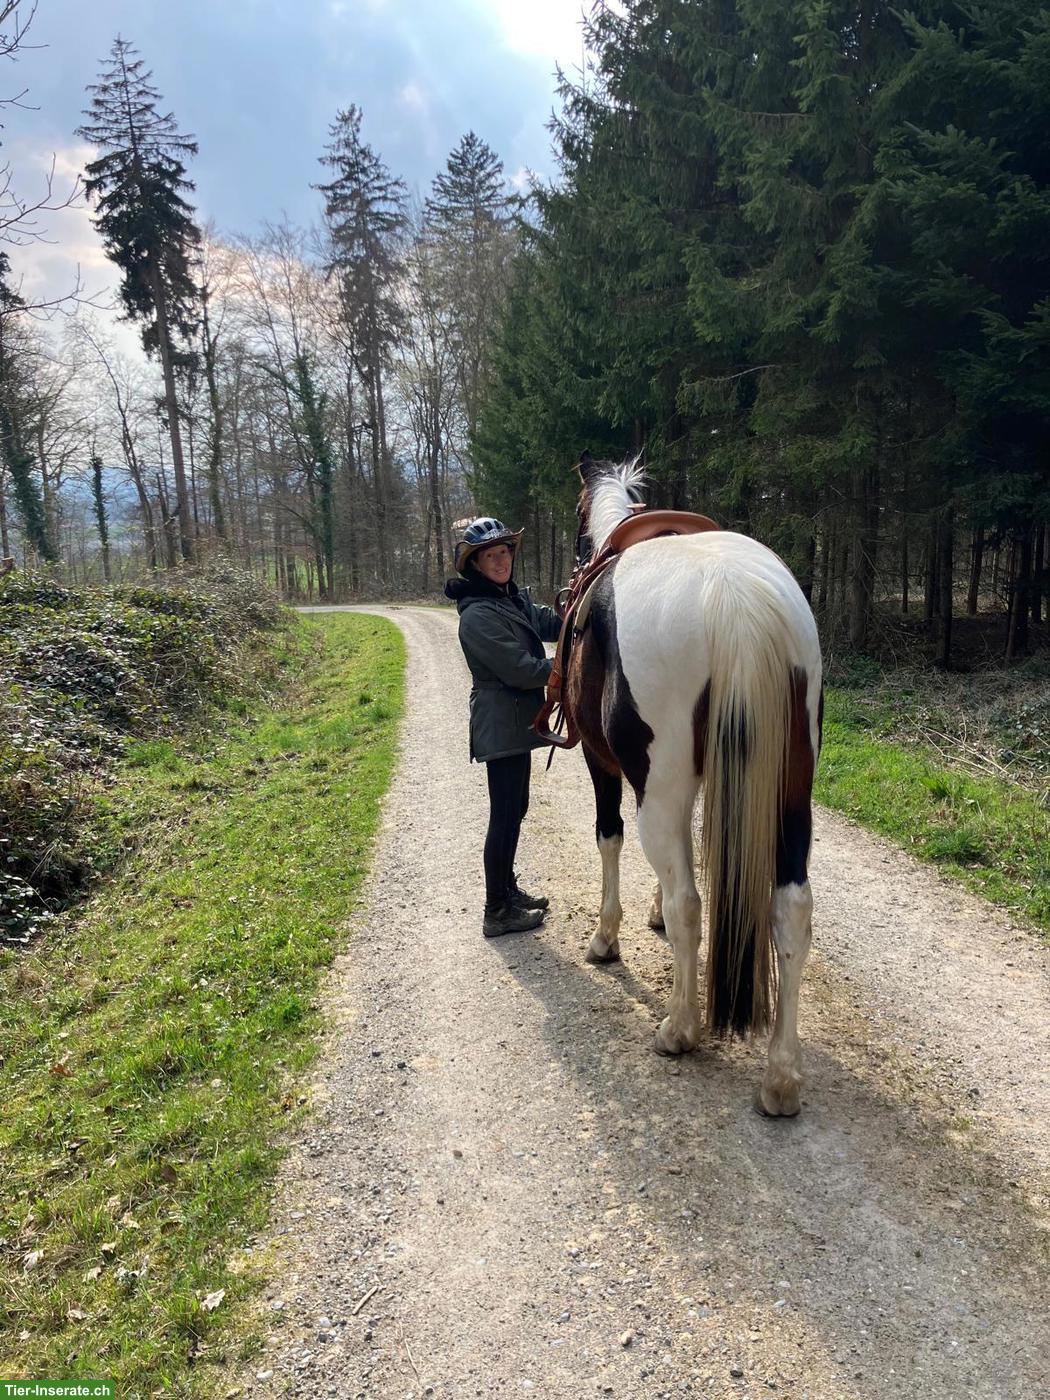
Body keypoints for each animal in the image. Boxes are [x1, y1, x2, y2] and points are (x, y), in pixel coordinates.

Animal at [562, 453, 823, 1117]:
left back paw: (680, 1029)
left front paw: (606, 937)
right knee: (792, 910)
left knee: (691, 903)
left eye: (575, 516)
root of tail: (734, 598)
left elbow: (610, 838)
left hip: (662, 789)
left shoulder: (605, 764)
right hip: (792, 794)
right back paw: (781, 1079)